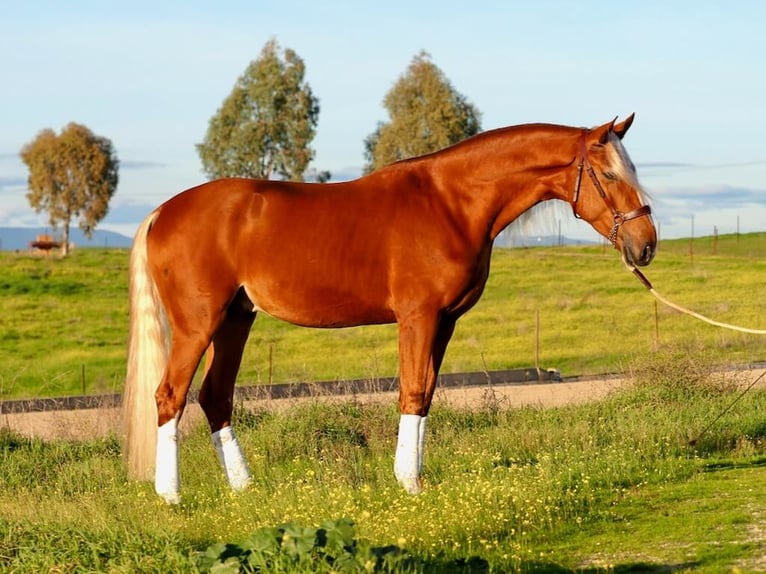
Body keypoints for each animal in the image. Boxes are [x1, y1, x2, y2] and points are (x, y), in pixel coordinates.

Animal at [123, 113, 656, 504]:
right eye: (609, 173)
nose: (646, 244)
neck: (449, 203)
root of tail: (162, 213)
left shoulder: (444, 323)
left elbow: (427, 394)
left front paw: (415, 477)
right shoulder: (418, 318)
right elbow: (412, 391)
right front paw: (409, 484)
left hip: (235, 319)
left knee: (215, 396)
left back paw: (245, 489)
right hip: (198, 324)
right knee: (170, 395)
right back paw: (171, 496)